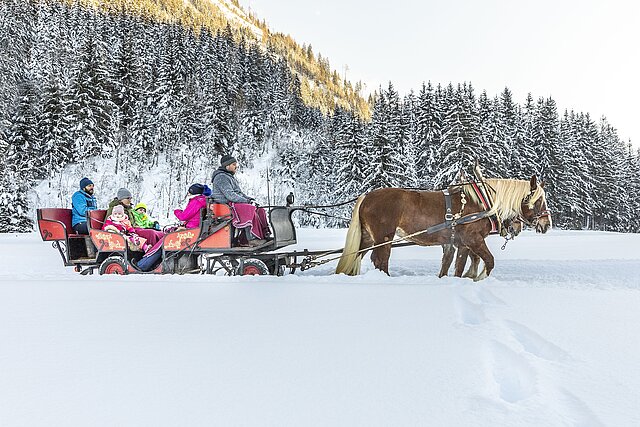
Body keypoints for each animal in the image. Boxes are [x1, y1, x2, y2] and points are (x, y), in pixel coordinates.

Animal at [336, 176, 552, 280]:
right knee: (380, 259)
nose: (547, 224)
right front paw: (479, 278)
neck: (483, 204)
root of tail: (366, 196)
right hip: (384, 237)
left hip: (368, 237)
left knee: (358, 255)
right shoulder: (472, 239)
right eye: (538, 200)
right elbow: (488, 261)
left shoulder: (459, 243)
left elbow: (456, 265)